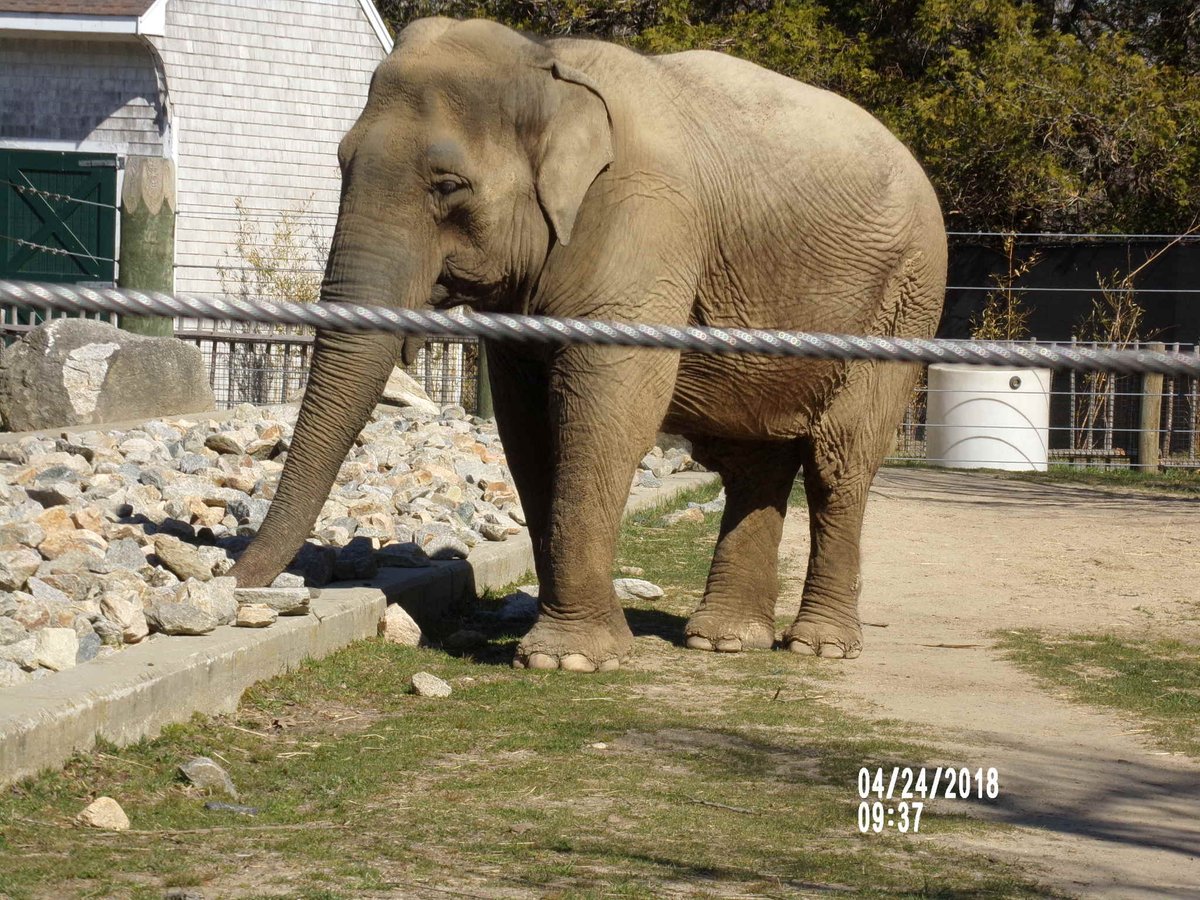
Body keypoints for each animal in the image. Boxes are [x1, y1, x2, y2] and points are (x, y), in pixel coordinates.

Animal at [228, 17, 946, 672]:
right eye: (341, 163)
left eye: (448, 185)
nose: (236, 585)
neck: (548, 65)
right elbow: (526, 423)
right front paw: (568, 648)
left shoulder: (644, 215)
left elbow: (605, 403)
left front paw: (566, 660)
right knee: (753, 459)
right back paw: (723, 641)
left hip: (906, 297)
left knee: (839, 459)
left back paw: (818, 647)